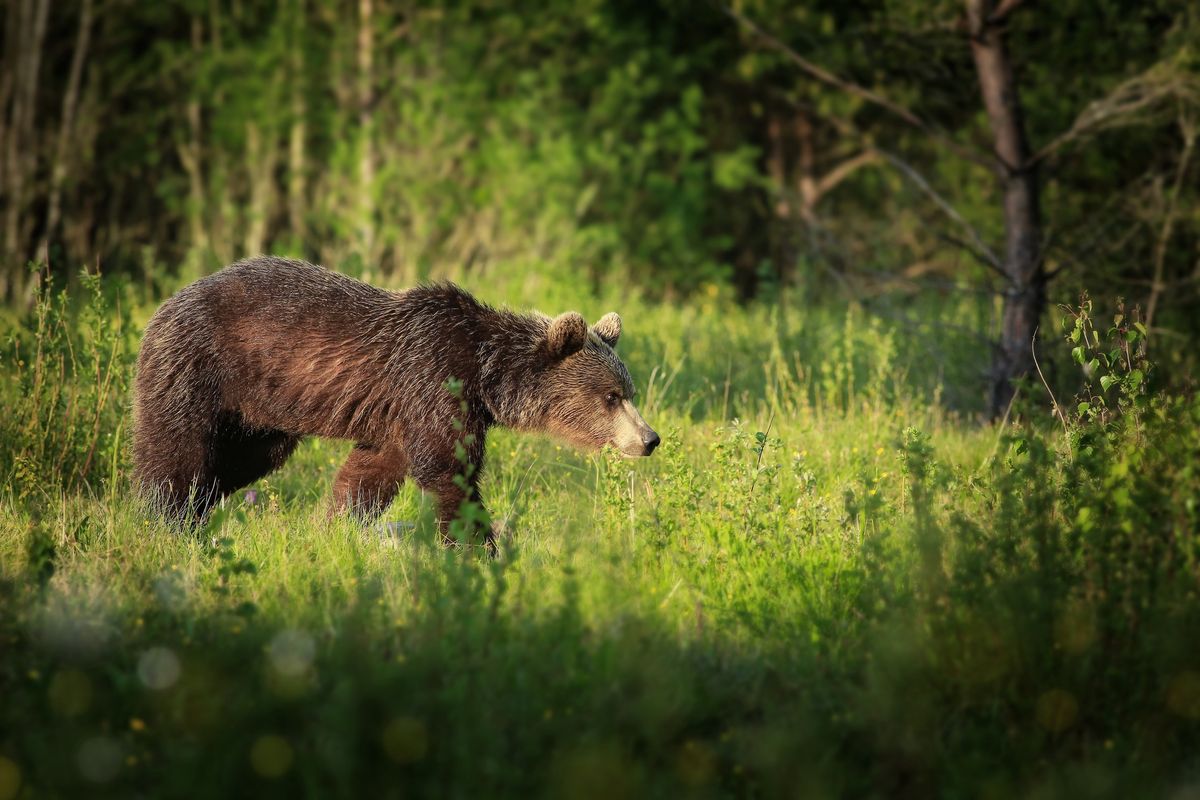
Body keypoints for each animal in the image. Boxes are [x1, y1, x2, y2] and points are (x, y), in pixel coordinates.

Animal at [136, 256, 662, 544]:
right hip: (200, 366)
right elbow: (448, 471)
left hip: (257, 413)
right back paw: (163, 518)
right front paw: (482, 551)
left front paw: (332, 528)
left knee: (238, 460)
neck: (486, 375)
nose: (649, 439)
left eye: (629, 393)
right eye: (611, 397)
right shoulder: (432, 379)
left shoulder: (400, 415)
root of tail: (167, 300)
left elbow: (369, 475)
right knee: (177, 450)